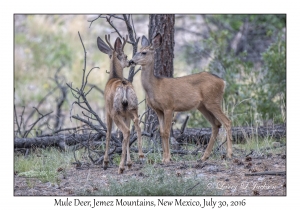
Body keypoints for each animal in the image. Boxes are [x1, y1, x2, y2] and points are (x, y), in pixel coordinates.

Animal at [96, 34, 143, 174]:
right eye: (126, 56)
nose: (130, 62)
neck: (114, 77)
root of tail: (124, 85)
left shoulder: (107, 110)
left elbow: (108, 134)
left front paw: (105, 162)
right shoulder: (126, 115)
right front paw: (129, 163)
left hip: (115, 111)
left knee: (126, 131)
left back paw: (120, 167)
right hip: (133, 108)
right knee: (136, 127)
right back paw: (140, 155)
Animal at [129, 33, 232, 163]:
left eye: (144, 52)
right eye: (137, 51)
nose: (131, 61)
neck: (155, 86)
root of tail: (223, 82)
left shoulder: (169, 106)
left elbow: (167, 132)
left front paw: (167, 158)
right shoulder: (158, 110)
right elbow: (161, 132)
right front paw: (165, 157)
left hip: (212, 101)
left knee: (227, 121)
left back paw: (229, 154)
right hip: (202, 106)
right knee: (216, 124)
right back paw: (204, 156)